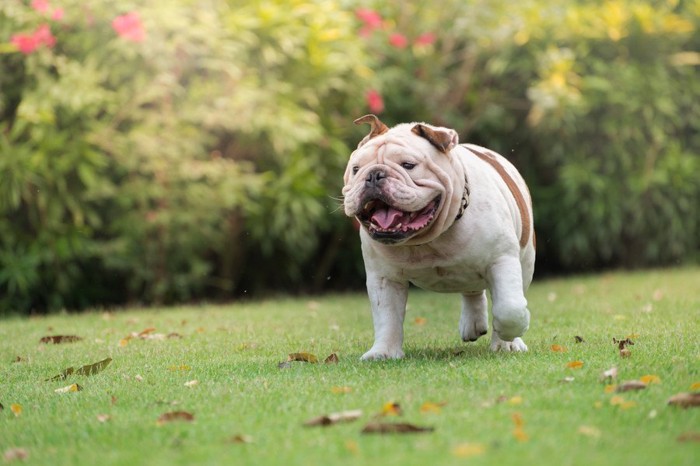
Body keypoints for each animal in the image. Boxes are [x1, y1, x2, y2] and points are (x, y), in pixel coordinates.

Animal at [344, 115, 536, 360]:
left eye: (408, 165)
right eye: (356, 169)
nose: (373, 175)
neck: (429, 238)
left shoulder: (501, 260)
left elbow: (510, 308)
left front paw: (508, 338)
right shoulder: (385, 278)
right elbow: (387, 317)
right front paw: (383, 352)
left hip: (526, 261)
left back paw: (506, 342)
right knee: (473, 291)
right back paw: (473, 324)